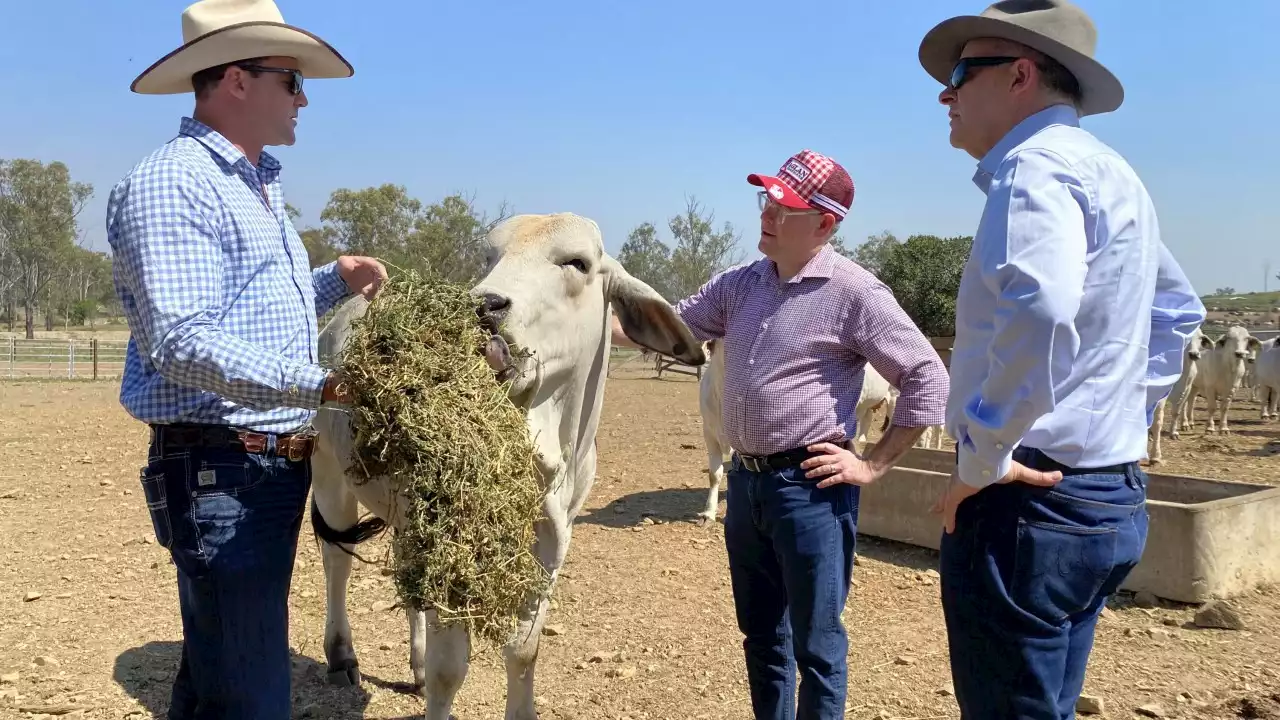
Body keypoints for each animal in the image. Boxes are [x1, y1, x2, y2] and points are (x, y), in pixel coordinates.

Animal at [307, 211, 701, 717]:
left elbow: (523, 649)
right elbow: (449, 669)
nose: (483, 307)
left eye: (577, 262)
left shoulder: (553, 539)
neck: (551, 452)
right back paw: (342, 656)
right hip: (328, 473)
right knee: (336, 560)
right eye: (489, 257)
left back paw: (412, 664)